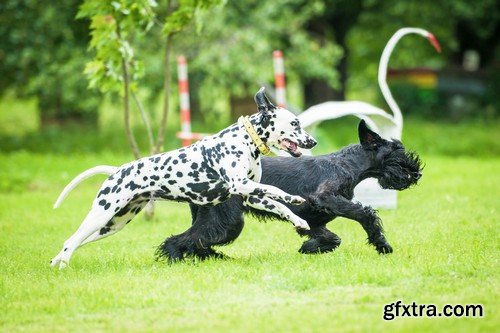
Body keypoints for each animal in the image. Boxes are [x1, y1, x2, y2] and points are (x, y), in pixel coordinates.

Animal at [49, 87, 316, 268]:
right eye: (295, 123)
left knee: (71, 242)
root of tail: (116, 171)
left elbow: (280, 205)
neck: (245, 140)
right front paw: (294, 198)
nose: (313, 141)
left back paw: (55, 261)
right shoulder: (242, 185)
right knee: (71, 242)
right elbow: (278, 191)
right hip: (101, 215)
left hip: (112, 225)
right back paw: (64, 266)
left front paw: (298, 219)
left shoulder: (252, 195)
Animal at [157, 120, 422, 260]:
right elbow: (364, 213)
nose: (416, 173)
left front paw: (310, 248)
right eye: (397, 153)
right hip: (226, 221)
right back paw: (174, 257)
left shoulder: (314, 220)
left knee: (196, 241)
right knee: (182, 240)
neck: (349, 164)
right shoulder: (325, 197)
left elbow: (331, 237)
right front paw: (382, 245)